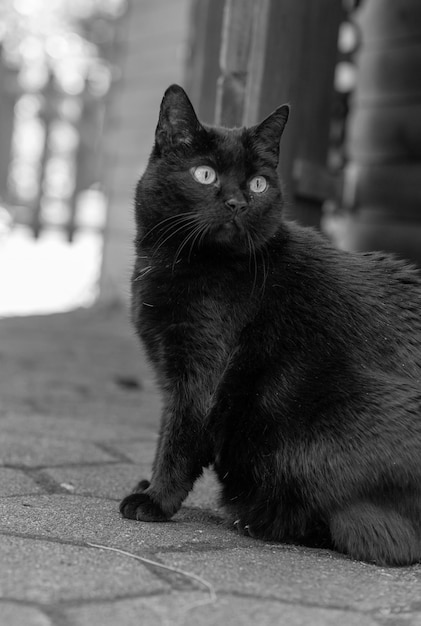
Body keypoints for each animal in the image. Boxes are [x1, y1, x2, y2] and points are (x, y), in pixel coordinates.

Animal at [120, 83, 420, 564]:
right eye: (205, 174)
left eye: (258, 183)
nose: (237, 202)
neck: (179, 261)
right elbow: (168, 432)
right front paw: (150, 486)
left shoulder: (200, 373)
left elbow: (179, 438)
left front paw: (155, 500)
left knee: (383, 539)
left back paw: (255, 517)